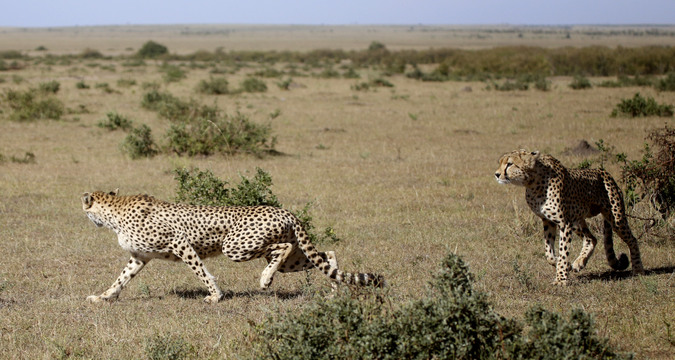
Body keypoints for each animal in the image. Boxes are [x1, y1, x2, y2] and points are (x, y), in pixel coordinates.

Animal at [82, 190, 382, 302]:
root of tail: (285, 211)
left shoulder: (180, 243)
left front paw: (215, 296)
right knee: (326, 254)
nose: (87, 217)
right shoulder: (139, 257)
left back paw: (265, 280)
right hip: (292, 258)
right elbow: (121, 279)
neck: (115, 211)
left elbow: (202, 272)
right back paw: (335, 291)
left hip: (235, 246)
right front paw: (103, 297)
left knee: (283, 248)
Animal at [496, 150, 644, 286]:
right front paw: (561, 264)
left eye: (509, 164)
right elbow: (548, 253)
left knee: (632, 239)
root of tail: (604, 172)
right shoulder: (548, 221)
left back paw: (638, 268)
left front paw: (561, 279)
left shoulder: (564, 223)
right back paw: (579, 263)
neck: (532, 182)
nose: (497, 174)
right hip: (577, 220)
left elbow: (563, 250)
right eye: (501, 162)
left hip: (615, 218)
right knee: (591, 238)